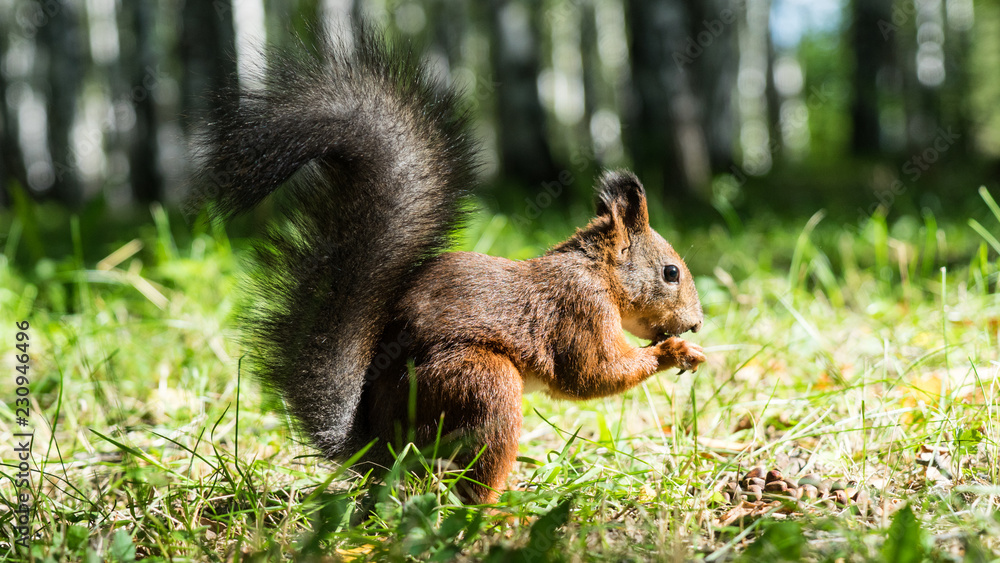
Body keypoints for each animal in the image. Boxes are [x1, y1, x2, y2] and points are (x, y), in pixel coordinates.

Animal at [194, 24, 705, 504]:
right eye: (671, 273)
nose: (698, 323)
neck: (596, 271)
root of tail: (380, 447)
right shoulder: (579, 311)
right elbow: (591, 374)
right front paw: (675, 352)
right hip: (480, 384)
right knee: (468, 481)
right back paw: (502, 507)